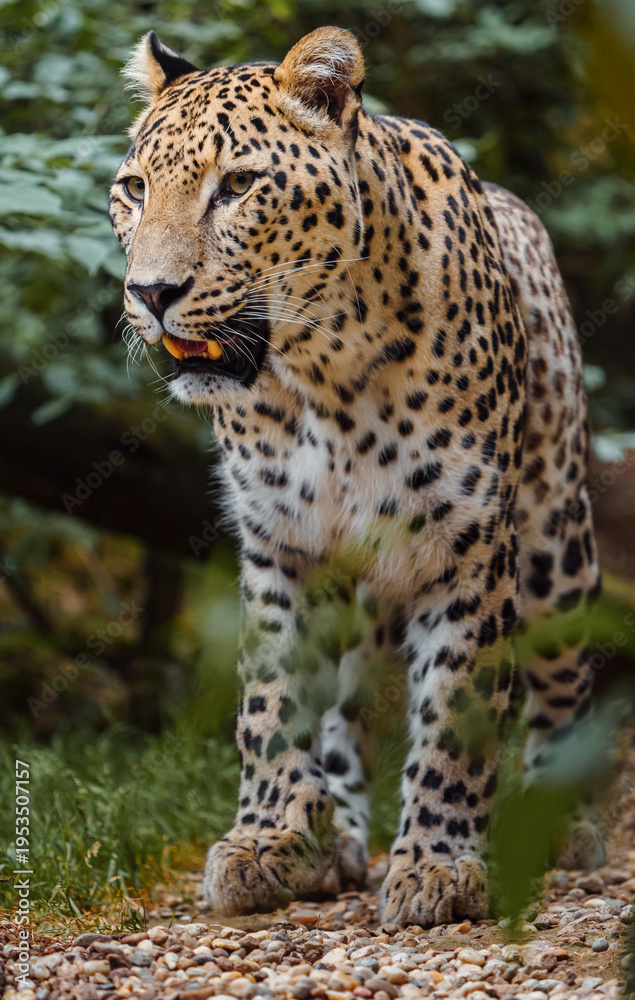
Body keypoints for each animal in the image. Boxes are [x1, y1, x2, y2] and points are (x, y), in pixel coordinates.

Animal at [110, 26, 601, 927]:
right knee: (339, 708)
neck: (323, 377)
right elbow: (269, 704)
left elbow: (457, 708)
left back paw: (562, 823)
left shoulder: (467, 545)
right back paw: (330, 835)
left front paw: (439, 864)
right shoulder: (279, 545)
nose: (151, 293)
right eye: (134, 189)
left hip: (556, 543)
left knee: (562, 684)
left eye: (236, 187)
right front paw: (267, 838)